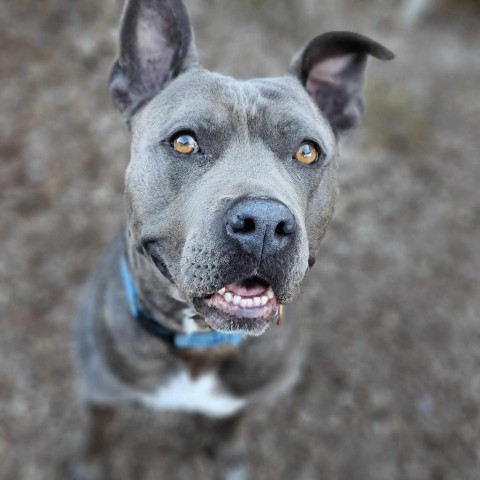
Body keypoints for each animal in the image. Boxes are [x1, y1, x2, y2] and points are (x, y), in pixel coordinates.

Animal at [72, 1, 394, 478]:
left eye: (307, 151)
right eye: (184, 142)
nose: (264, 222)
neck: (200, 343)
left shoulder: (245, 395)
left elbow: (232, 420)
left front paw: (229, 456)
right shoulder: (100, 390)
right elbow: (96, 433)